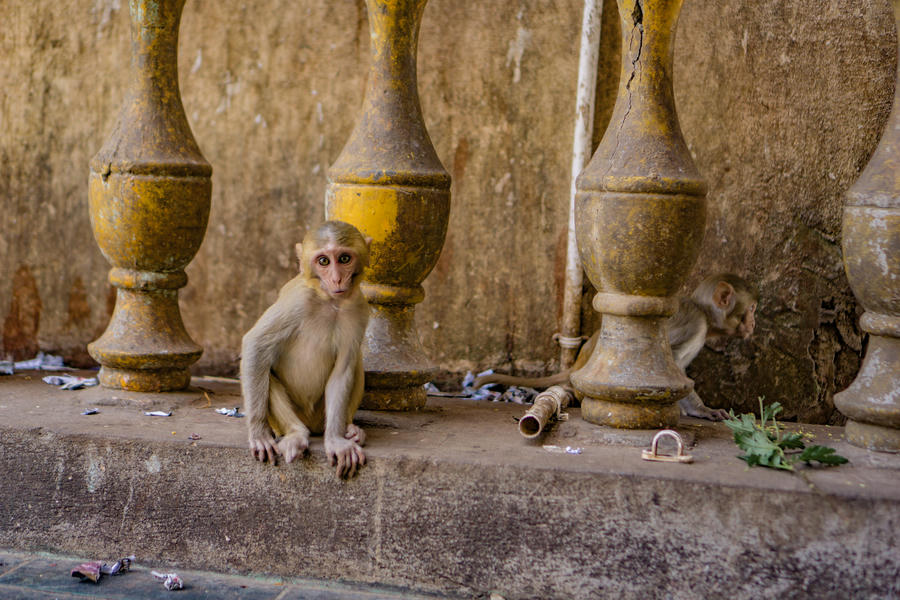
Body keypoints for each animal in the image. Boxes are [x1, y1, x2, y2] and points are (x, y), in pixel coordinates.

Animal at [241, 220, 370, 478]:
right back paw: (296, 435)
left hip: (321, 415)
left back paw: (350, 430)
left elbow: (343, 370)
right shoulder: (297, 301)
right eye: (324, 261)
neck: (330, 302)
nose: (337, 279)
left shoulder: (358, 310)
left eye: (344, 259)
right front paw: (258, 434)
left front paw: (336, 441)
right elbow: (256, 346)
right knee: (266, 371)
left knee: (356, 363)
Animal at [474, 274, 756, 422]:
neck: (705, 313)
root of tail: (576, 366)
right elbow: (673, 361)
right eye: (751, 308)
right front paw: (702, 410)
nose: (754, 323)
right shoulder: (694, 325)